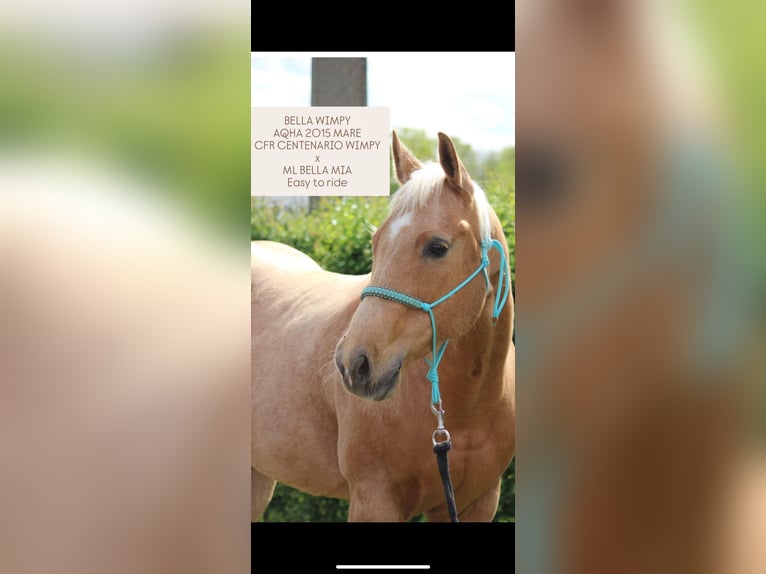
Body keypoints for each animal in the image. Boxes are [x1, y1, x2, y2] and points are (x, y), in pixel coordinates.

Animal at [251, 131, 514, 522]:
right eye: (375, 243)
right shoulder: (375, 499)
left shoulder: (476, 502)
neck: (468, 409)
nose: (353, 364)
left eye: (438, 247)